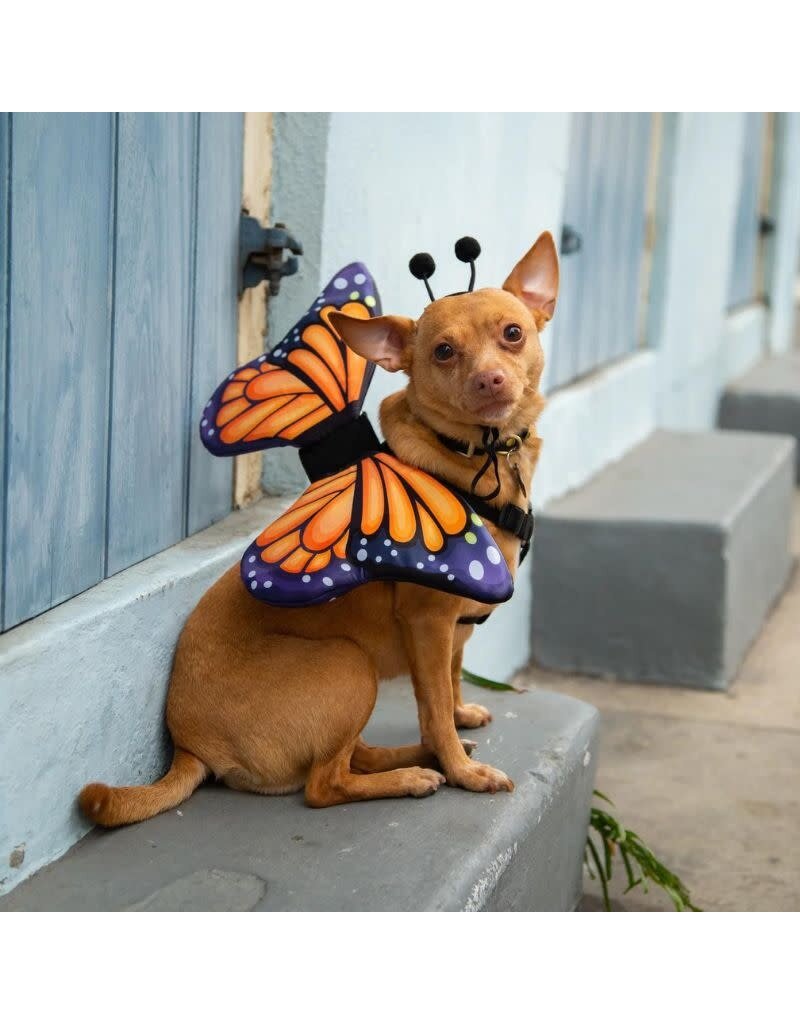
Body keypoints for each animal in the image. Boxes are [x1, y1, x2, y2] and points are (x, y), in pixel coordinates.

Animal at [79, 232, 557, 823]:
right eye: (443, 352)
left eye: (513, 333)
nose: (489, 379)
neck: (482, 457)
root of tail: (189, 747)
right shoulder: (429, 624)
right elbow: (433, 705)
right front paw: (464, 772)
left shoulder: (453, 633)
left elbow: (450, 682)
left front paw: (461, 717)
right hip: (348, 663)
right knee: (325, 784)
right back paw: (416, 774)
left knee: (356, 755)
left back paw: (414, 759)